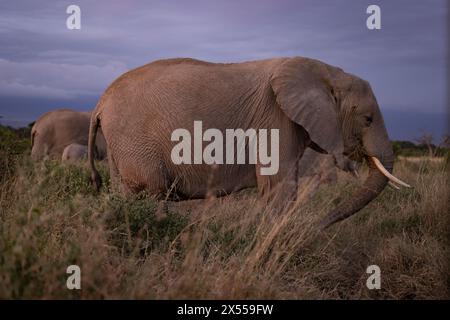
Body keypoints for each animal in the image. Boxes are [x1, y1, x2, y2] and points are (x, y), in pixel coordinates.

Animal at [89, 57, 412, 228]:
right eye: (368, 119)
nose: (316, 227)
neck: (327, 72)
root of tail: (100, 102)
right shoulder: (276, 118)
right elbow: (279, 186)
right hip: (134, 142)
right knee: (150, 192)